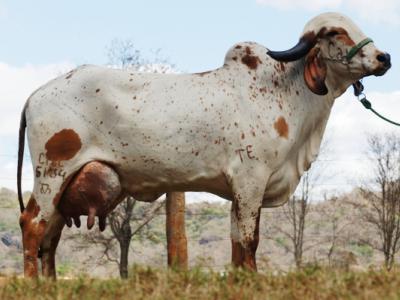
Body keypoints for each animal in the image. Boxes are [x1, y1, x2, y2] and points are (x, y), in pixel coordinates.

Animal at [17, 12, 390, 278]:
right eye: (335, 33)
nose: (384, 57)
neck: (285, 91)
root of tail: (36, 94)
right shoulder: (250, 181)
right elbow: (250, 240)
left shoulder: (239, 191)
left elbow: (237, 243)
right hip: (52, 173)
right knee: (33, 225)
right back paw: (34, 283)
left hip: (64, 187)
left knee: (50, 236)